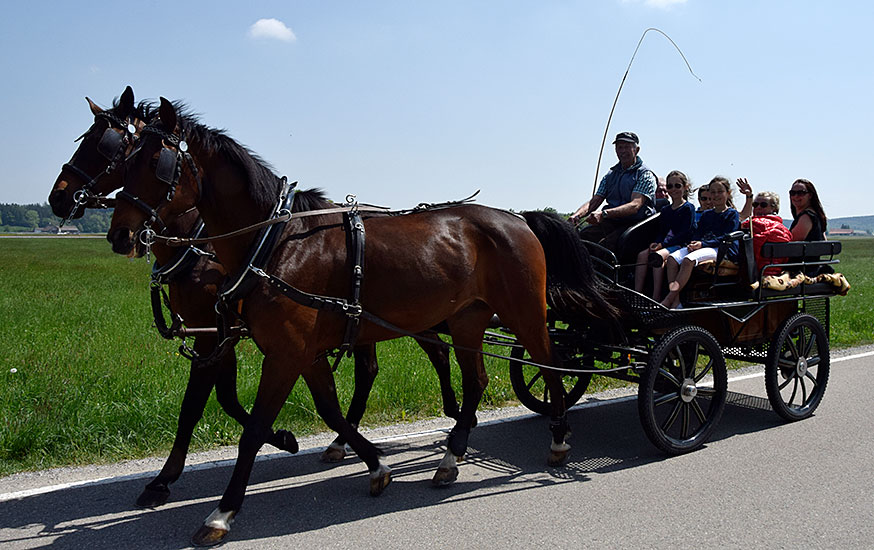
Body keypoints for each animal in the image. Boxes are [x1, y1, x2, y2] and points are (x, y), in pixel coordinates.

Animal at [49, 89, 456, 508]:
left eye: (106, 146)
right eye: (119, 156)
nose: (59, 197)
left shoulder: (214, 333)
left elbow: (198, 404)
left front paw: (164, 479)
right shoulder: (222, 334)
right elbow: (228, 398)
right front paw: (284, 438)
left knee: (432, 355)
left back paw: (452, 418)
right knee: (384, 367)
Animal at [107, 98, 612, 548]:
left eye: (157, 163)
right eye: (123, 159)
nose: (120, 234)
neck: (276, 243)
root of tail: (518, 217)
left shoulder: (283, 354)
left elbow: (252, 431)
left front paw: (222, 512)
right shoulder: (297, 352)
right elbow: (328, 408)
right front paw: (373, 463)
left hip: (523, 313)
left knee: (549, 364)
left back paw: (559, 440)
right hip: (467, 320)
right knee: (476, 380)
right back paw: (451, 458)